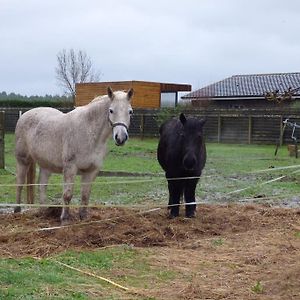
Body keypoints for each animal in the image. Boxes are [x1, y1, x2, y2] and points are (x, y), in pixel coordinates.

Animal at [14, 85, 134, 221]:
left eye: (130, 111)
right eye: (111, 110)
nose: (121, 138)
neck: (89, 133)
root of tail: (24, 115)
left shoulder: (91, 171)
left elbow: (85, 196)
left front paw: (83, 218)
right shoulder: (70, 168)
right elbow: (67, 194)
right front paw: (65, 219)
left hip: (46, 165)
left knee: (42, 185)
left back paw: (44, 211)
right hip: (22, 161)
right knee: (20, 183)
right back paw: (17, 210)